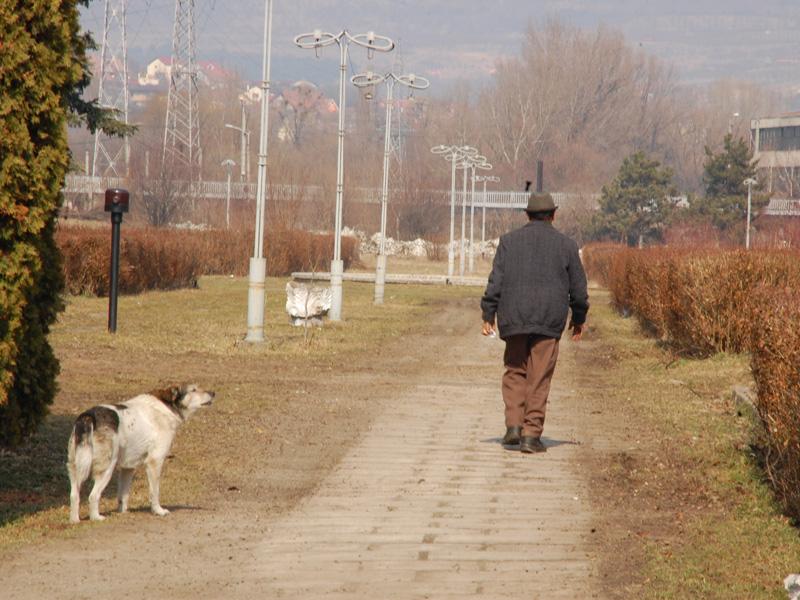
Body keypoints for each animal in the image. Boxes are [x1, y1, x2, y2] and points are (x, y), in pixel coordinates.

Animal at [67, 386, 214, 524]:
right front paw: (158, 511)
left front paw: (123, 513)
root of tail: (88, 416)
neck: (166, 408)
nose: (213, 393)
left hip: (75, 469)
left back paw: (75, 521)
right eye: (193, 389)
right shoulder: (155, 462)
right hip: (107, 469)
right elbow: (155, 492)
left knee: (74, 496)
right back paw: (96, 518)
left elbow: (123, 496)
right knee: (93, 496)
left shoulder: (128, 468)